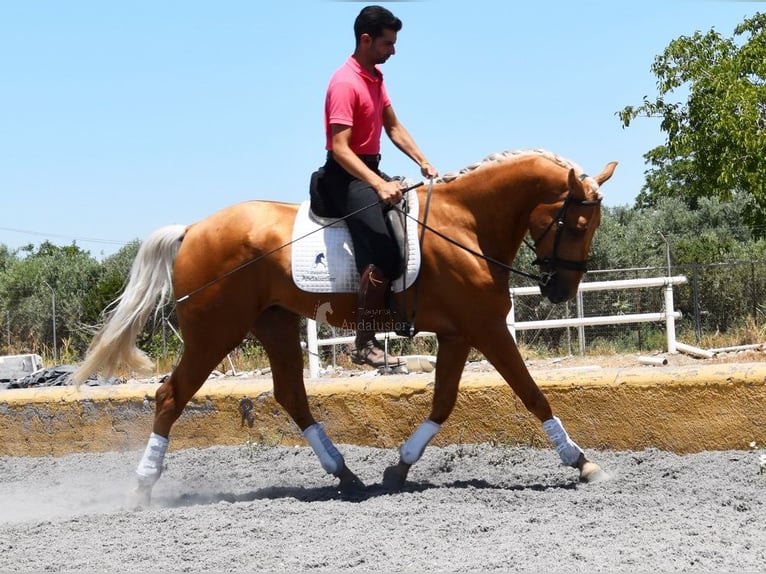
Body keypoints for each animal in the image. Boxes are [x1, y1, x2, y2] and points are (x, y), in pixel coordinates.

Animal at [72, 150, 620, 504]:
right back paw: (144, 484)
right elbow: (532, 393)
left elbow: (443, 403)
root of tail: (192, 230)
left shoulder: (459, 333)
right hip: (215, 332)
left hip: (273, 324)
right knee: (171, 396)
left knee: (291, 395)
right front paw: (581, 461)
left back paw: (346, 474)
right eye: (575, 224)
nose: (560, 291)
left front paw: (400, 465)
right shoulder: (486, 328)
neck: (465, 223)